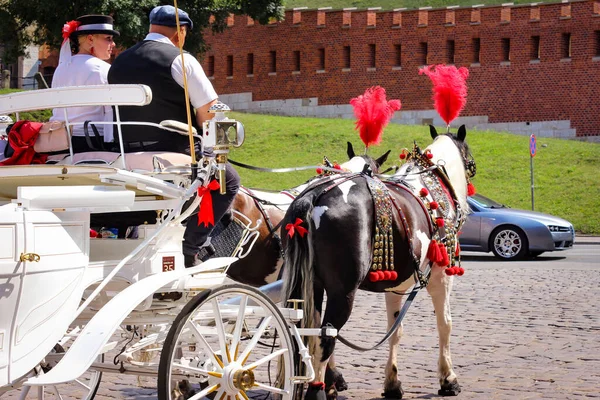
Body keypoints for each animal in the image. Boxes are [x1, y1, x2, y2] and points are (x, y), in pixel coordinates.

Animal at [284, 126, 476, 400]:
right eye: (470, 160)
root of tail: (314, 196)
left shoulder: (395, 286)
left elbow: (395, 330)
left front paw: (392, 382)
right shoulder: (441, 277)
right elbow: (445, 324)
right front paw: (448, 378)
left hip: (309, 288)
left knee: (302, 333)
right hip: (342, 293)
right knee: (325, 338)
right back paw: (319, 389)